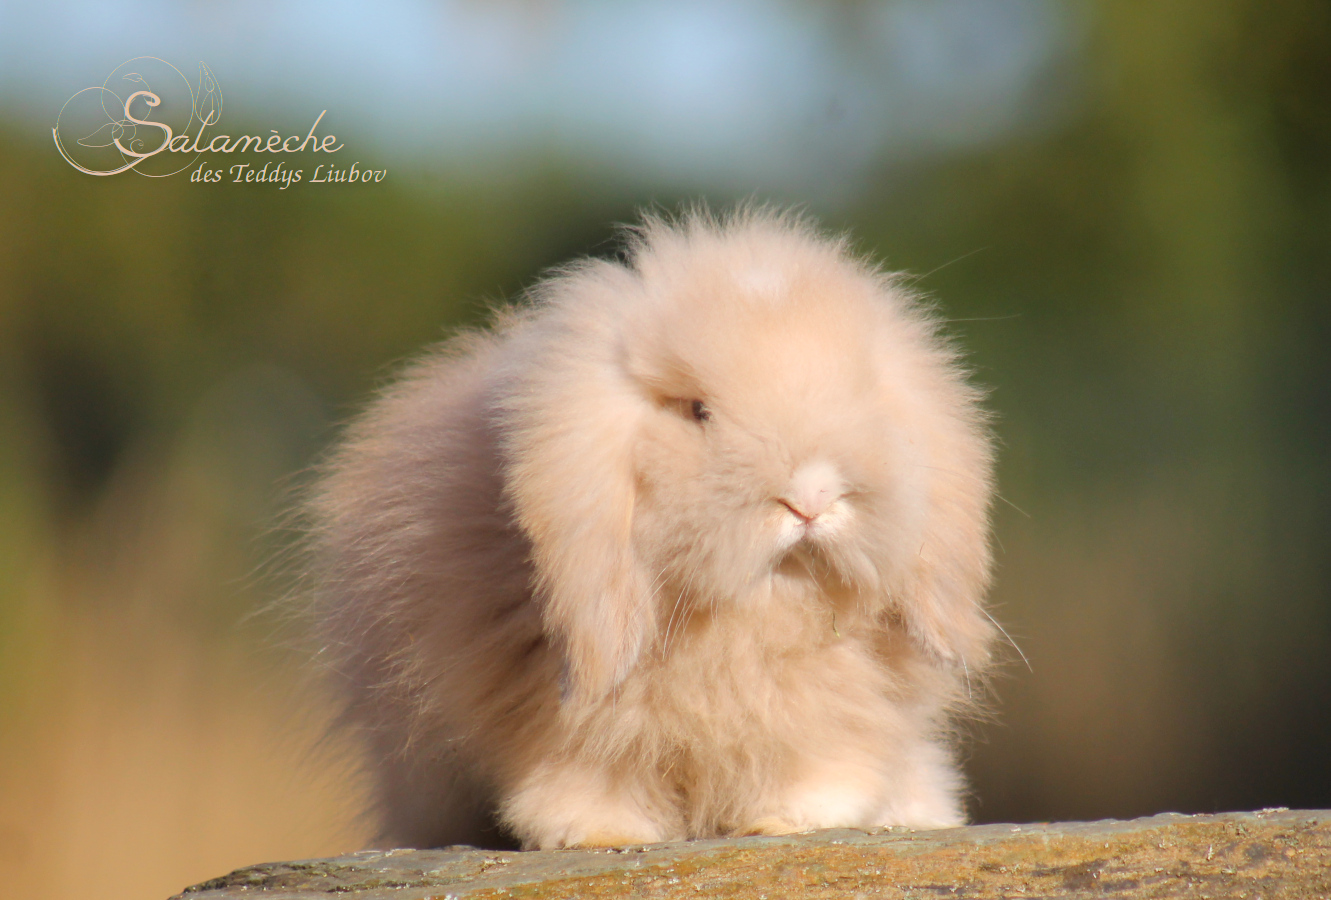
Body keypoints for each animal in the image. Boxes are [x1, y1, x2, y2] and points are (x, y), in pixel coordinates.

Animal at [305, 205, 998, 851]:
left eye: (862, 398)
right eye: (697, 411)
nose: (810, 498)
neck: (746, 620)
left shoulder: (830, 714)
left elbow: (818, 768)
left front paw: (784, 822)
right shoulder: (552, 717)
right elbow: (578, 776)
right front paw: (600, 833)